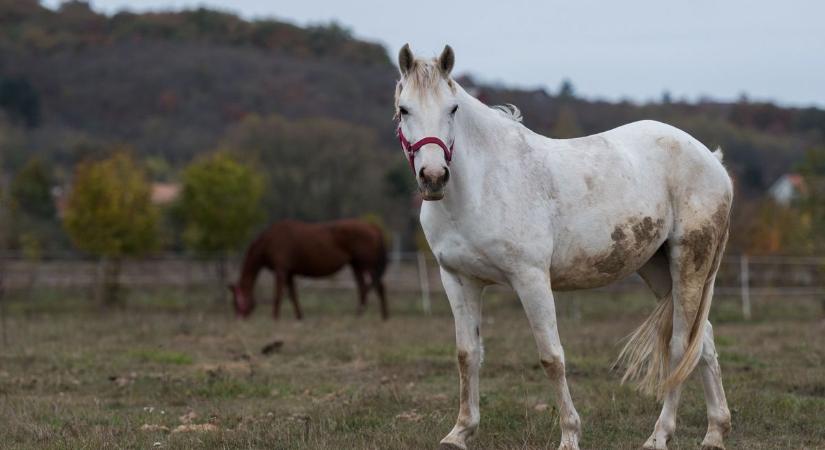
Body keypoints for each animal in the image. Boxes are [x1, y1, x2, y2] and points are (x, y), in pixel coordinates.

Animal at [229, 219, 390, 320]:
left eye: (237, 303)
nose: (238, 318)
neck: (267, 242)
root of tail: (373, 227)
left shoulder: (281, 270)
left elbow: (278, 294)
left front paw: (274, 316)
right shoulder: (290, 273)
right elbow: (293, 295)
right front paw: (299, 316)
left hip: (368, 264)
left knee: (379, 286)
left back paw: (384, 316)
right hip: (356, 265)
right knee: (363, 288)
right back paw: (359, 314)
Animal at [396, 43, 732, 450]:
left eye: (453, 109)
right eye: (404, 109)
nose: (433, 177)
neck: (481, 185)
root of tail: (711, 160)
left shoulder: (530, 279)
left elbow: (551, 357)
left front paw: (570, 434)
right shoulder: (459, 280)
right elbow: (467, 355)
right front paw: (459, 432)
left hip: (690, 263)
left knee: (682, 346)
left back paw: (660, 435)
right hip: (656, 268)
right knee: (705, 341)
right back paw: (715, 432)